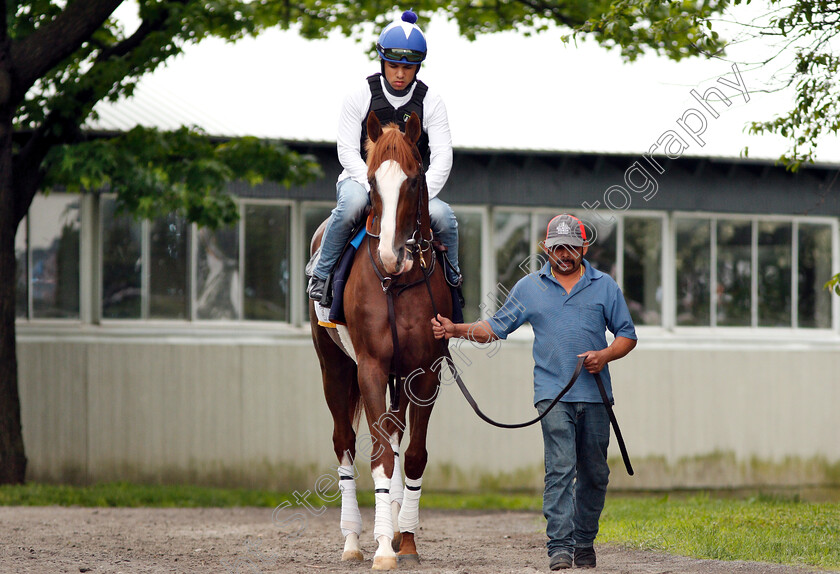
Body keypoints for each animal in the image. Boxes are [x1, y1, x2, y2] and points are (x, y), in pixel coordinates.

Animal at [308, 110, 452, 568]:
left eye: (414, 179)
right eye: (371, 182)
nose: (391, 254)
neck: (398, 283)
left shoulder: (425, 372)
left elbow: (413, 454)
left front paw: (404, 540)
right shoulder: (370, 366)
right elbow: (379, 457)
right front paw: (384, 549)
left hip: (399, 378)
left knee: (392, 433)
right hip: (334, 366)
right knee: (345, 443)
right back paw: (354, 539)